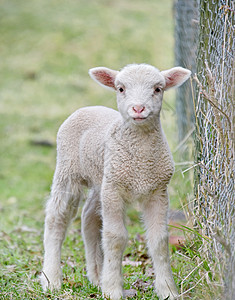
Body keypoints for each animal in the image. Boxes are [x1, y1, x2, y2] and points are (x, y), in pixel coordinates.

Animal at [40, 62, 191, 298]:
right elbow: (116, 237)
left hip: (101, 178)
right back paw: (52, 279)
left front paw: (168, 290)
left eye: (158, 89)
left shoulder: (157, 191)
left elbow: (159, 240)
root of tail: (88, 108)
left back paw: (96, 277)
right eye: (120, 89)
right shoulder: (114, 190)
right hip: (69, 170)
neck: (141, 163)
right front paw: (113, 290)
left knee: (89, 217)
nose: (138, 109)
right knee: (57, 218)